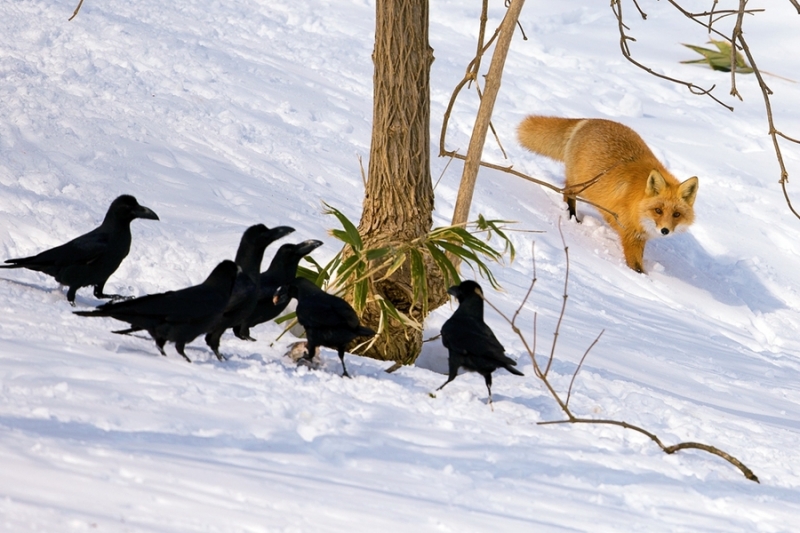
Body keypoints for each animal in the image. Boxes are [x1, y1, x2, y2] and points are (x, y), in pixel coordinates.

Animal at [520, 117, 700, 274]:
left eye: (676, 214)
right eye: (658, 210)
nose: (665, 231)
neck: (638, 202)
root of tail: (588, 120)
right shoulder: (630, 234)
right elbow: (636, 268)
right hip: (581, 184)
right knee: (567, 193)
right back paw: (572, 217)